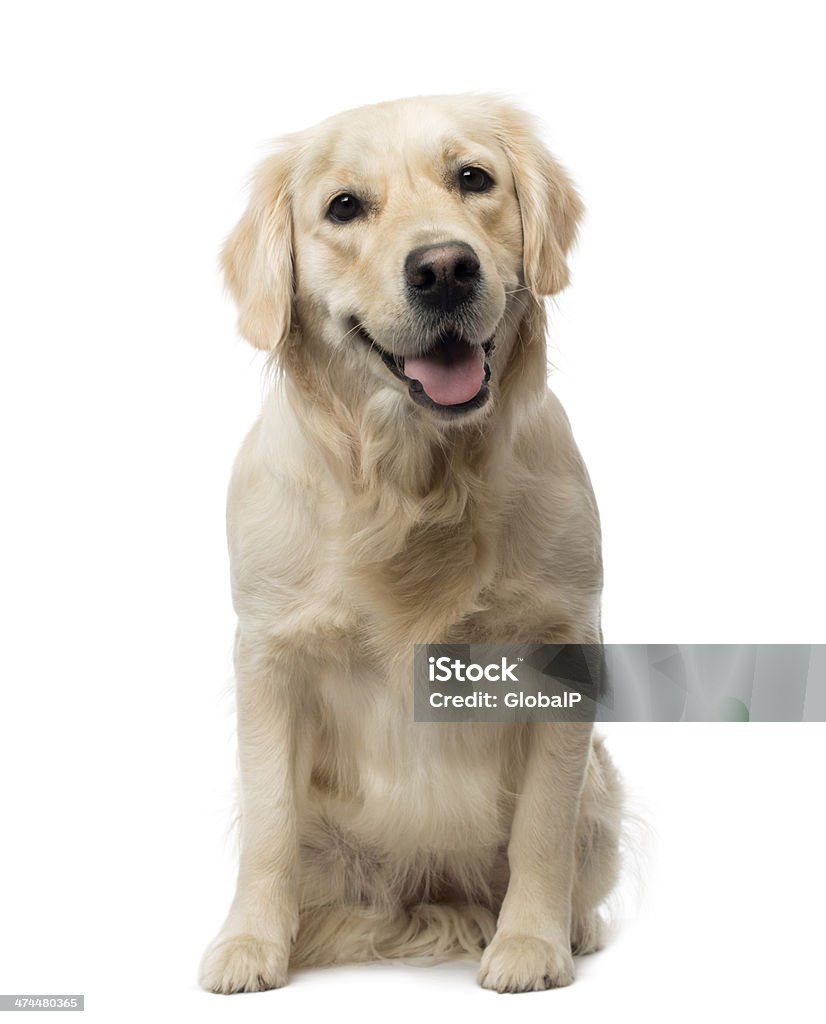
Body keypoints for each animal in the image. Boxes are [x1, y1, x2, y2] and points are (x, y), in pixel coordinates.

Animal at [200, 94, 622, 991]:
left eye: (473, 178)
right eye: (343, 207)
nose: (444, 269)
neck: (415, 481)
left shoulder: (566, 640)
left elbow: (543, 825)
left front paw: (530, 943)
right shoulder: (267, 651)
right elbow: (270, 820)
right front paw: (251, 943)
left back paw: (571, 926)